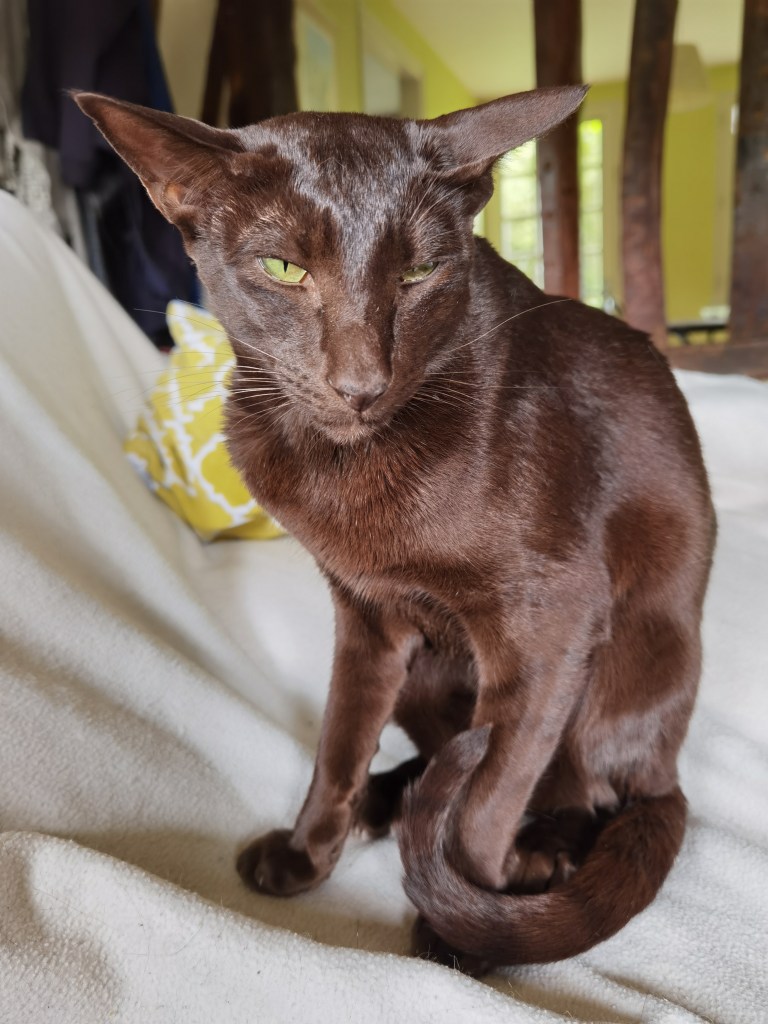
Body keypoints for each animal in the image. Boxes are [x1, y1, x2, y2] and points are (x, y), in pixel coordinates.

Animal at [75, 86, 715, 975]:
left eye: (419, 273)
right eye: (283, 269)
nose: (361, 385)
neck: (339, 468)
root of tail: (670, 766)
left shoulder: (554, 623)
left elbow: (489, 792)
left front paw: (462, 922)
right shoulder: (366, 613)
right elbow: (339, 742)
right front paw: (308, 854)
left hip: (631, 654)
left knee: (584, 790)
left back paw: (533, 864)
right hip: (427, 667)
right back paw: (388, 803)